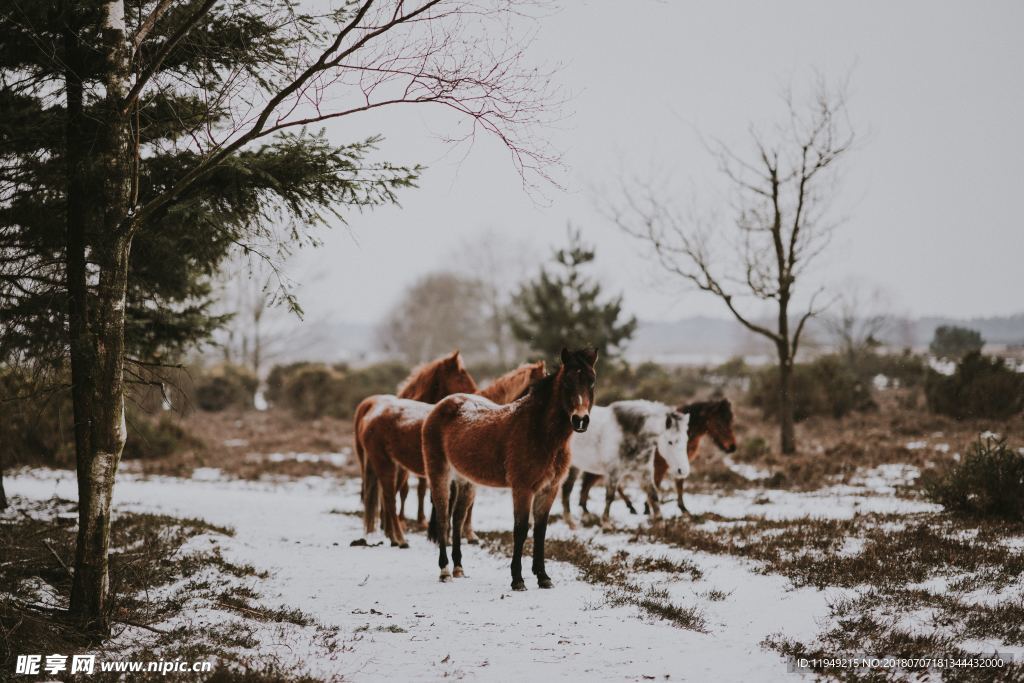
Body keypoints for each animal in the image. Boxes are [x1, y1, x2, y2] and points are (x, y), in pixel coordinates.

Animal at [364, 360, 548, 548]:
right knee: (389, 500)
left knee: (388, 499)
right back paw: (399, 539)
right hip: (386, 465)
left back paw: (392, 535)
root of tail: (373, 416)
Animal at [423, 350, 598, 589]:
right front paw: (518, 580)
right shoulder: (522, 488)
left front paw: (543, 577)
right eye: (567, 382)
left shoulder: (548, 489)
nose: (580, 420)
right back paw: (444, 570)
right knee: (442, 518)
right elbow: (521, 529)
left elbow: (540, 531)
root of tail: (440, 406)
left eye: (592, 381)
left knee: (457, 518)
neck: (540, 433)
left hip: (465, 480)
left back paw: (459, 567)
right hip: (439, 473)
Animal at [577, 397, 737, 516]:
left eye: (731, 421)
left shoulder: (679, 465)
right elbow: (658, 485)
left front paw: (683, 509)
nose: (732, 447)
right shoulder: (660, 466)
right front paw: (648, 508)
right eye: (720, 423)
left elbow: (679, 485)